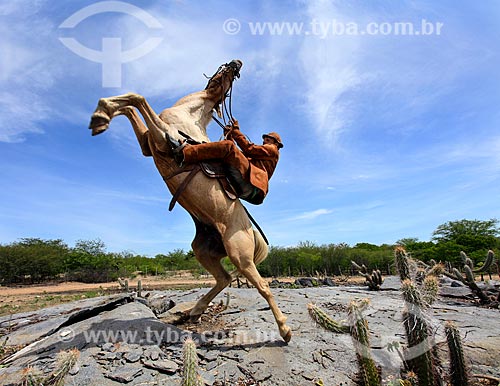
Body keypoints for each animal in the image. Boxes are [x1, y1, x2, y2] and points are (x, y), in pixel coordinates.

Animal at [89, 58, 292, 342]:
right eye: (222, 72)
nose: (237, 63)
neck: (188, 116)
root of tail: (250, 231)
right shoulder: (148, 144)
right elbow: (130, 106)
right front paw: (101, 118)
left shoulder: (162, 136)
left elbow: (137, 99)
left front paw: (100, 115)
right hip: (203, 251)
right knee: (224, 278)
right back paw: (195, 311)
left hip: (240, 254)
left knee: (262, 286)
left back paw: (285, 330)